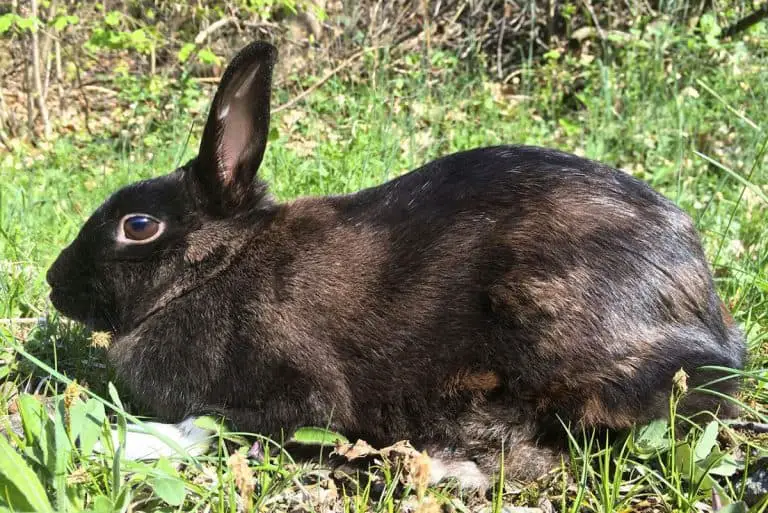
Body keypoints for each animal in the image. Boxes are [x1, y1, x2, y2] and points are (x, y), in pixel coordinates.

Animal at [46, 41, 745, 488]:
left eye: (138, 226)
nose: (55, 286)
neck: (216, 267)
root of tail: (704, 319)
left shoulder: (296, 392)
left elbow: (208, 423)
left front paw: (124, 439)